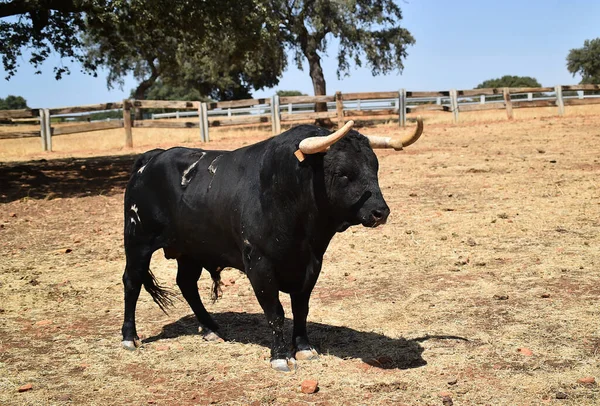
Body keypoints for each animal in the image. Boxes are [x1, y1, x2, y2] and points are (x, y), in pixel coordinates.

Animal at [120, 120, 422, 372]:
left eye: (375, 167)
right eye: (343, 173)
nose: (380, 212)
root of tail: (153, 157)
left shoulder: (311, 264)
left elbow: (301, 308)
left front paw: (304, 348)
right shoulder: (259, 265)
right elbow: (275, 312)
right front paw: (280, 357)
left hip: (190, 249)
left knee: (186, 284)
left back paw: (210, 329)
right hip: (138, 241)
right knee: (132, 282)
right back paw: (129, 337)